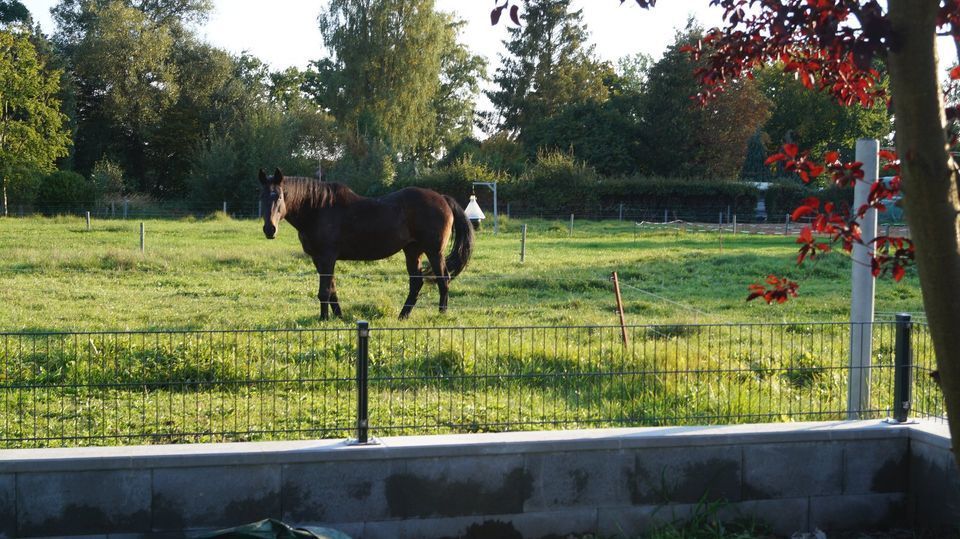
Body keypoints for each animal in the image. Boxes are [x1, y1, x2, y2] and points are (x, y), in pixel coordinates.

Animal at [258, 169, 476, 320]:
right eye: (262, 196)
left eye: (279, 196)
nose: (270, 229)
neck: (317, 209)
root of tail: (443, 199)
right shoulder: (319, 260)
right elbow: (332, 290)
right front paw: (339, 317)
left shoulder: (327, 258)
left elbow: (324, 291)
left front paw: (323, 319)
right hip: (413, 251)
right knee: (417, 283)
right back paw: (402, 316)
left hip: (434, 251)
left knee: (443, 279)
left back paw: (441, 314)